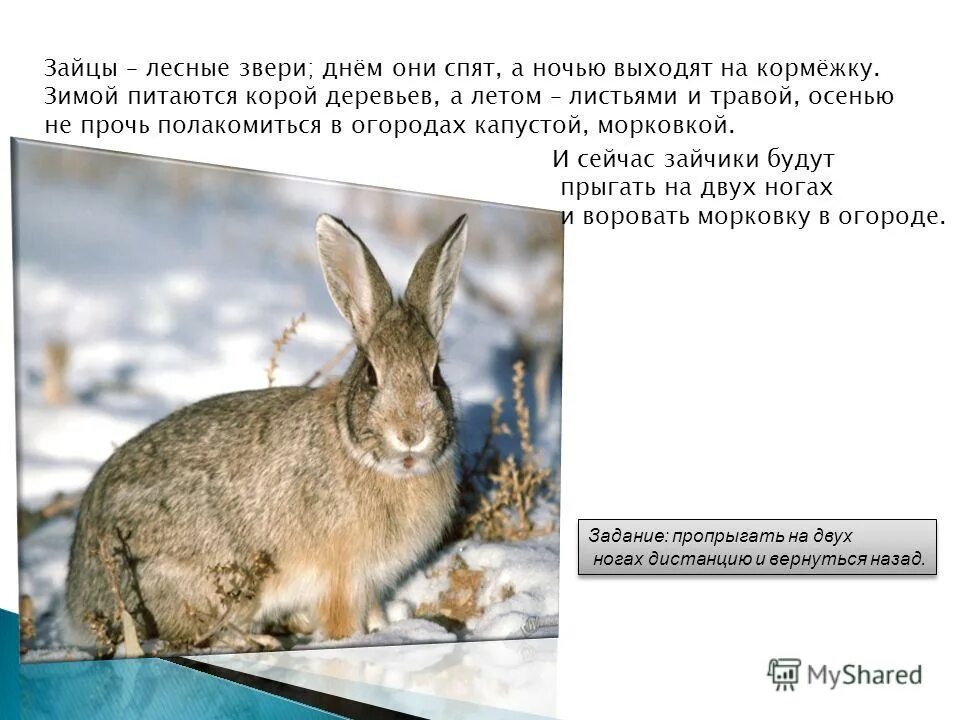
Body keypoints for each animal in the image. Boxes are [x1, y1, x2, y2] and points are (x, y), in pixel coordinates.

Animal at [65, 213, 468, 648]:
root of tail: (79, 595)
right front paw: (353, 640)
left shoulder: (372, 581)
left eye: (436, 375)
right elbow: (342, 623)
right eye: (371, 376)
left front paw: (385, 629)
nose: (411, 435)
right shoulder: (341, 579)